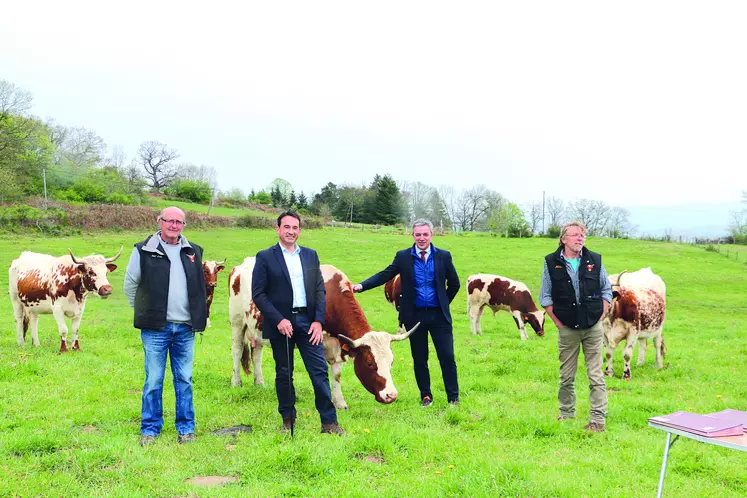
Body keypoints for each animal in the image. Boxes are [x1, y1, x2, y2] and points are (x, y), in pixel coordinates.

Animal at [228, 256, 418, 408]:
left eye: (391, 362)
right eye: (370, 363)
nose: (391, 396)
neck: (331, 298)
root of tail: (241, 265)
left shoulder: (338, 344)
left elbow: (337, 374)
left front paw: (339, 402)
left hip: (257, 328)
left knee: (256, 355)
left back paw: (259, 383)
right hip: (237, 322)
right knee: (237, 351)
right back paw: (236, 382)